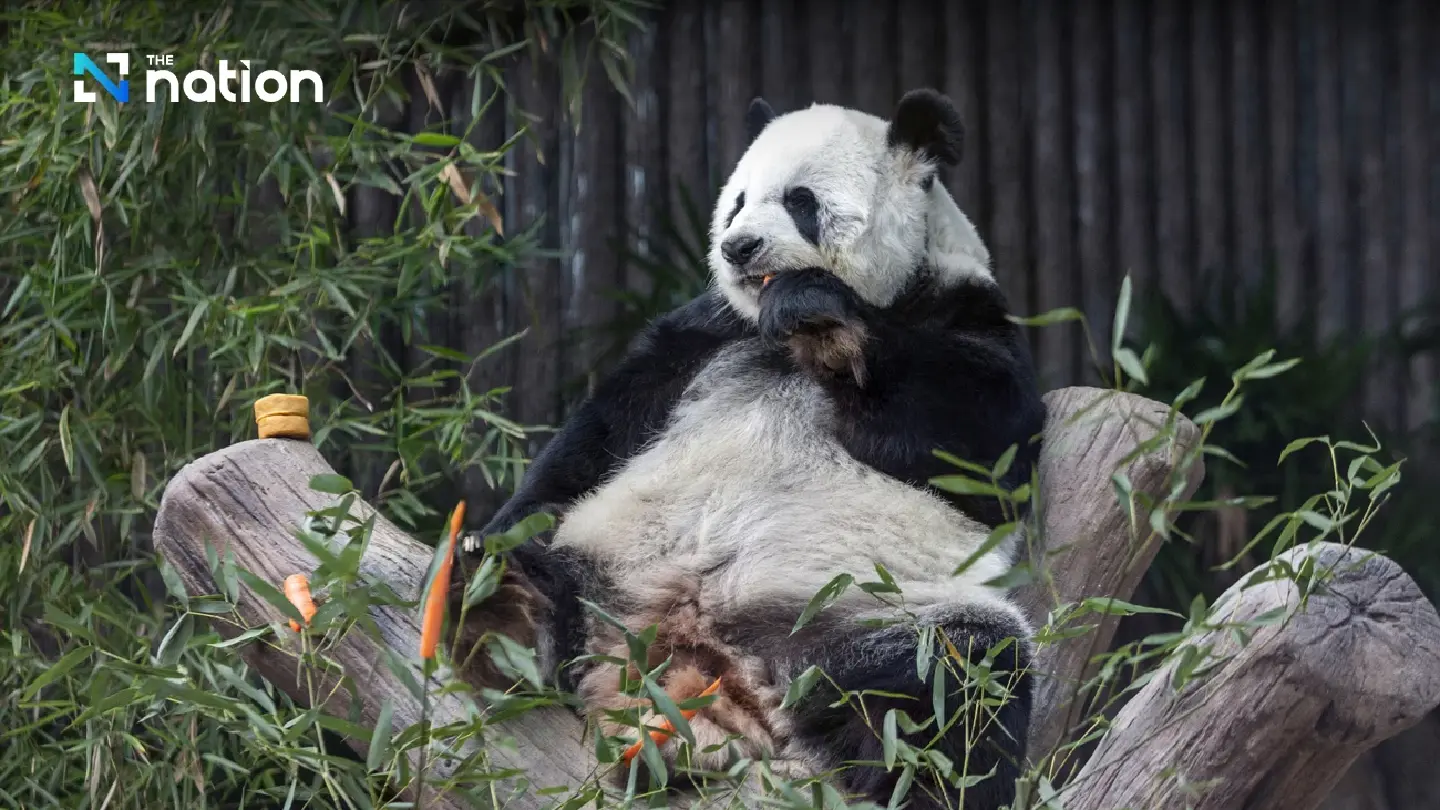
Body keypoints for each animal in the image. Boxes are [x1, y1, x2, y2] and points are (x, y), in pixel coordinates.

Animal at [456, 88, 1046, 810]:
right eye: (737, 201)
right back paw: (496, 600)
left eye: (800, 201)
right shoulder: (704, 335)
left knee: (959, 681)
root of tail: (691, 649)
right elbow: (597, 436)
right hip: (607, 561)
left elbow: (986, 450)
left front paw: (821, 313)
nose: (738, 247)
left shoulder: (966, 311)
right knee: (543, 573)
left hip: (863, 608)